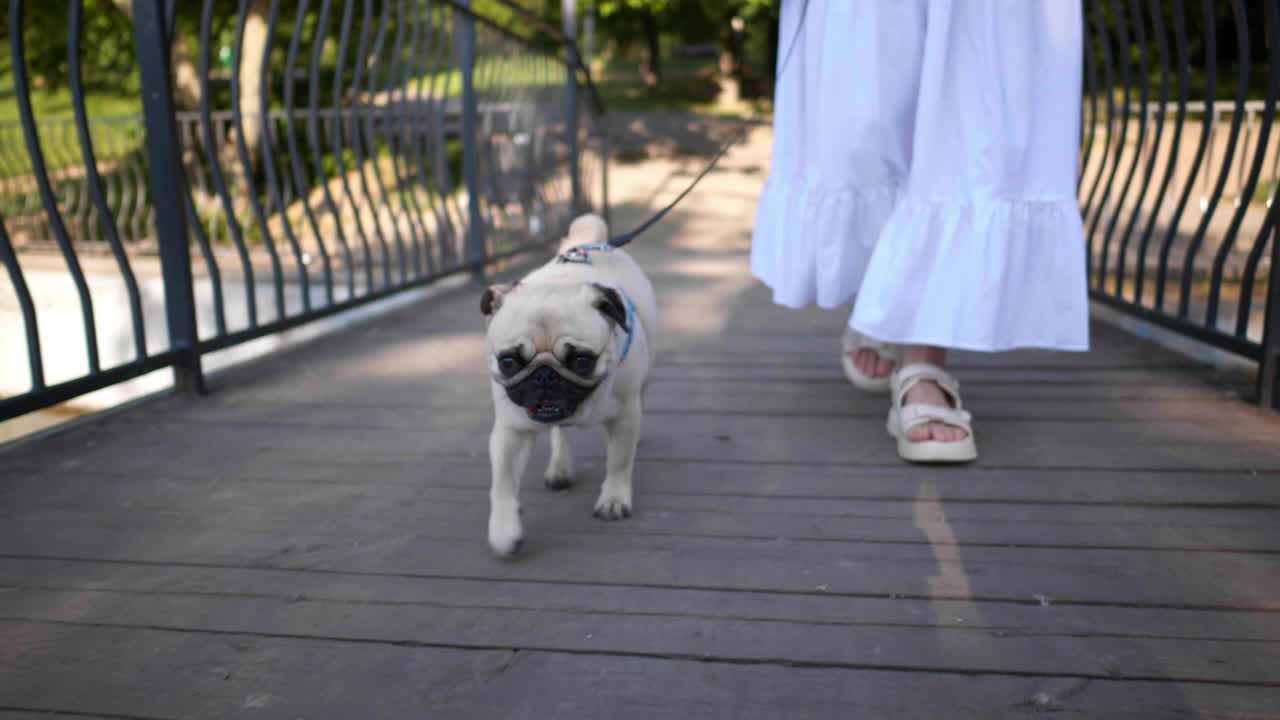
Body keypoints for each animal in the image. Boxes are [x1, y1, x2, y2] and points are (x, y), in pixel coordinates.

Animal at [481, 210, 660, 550]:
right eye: (508, 361)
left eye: (581, 361)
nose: (544, 376)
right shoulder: (510, 432)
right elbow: (503, 483)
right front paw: (503, 529)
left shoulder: (623, 418)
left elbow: (619, 463)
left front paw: (614, 500)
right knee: (559, 432)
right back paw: (560, 468)